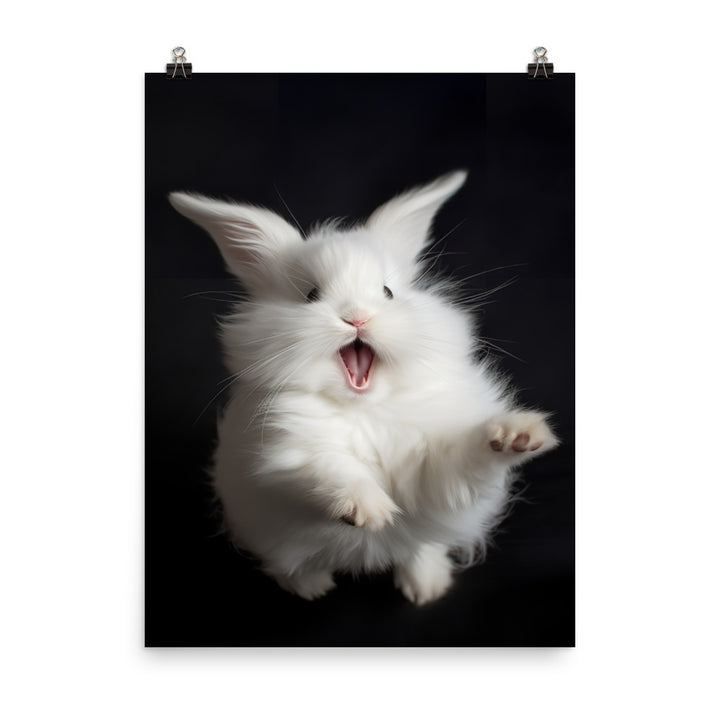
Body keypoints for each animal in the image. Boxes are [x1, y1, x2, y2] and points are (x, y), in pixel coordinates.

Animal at [168, 170, 558, 605]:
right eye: (311, 295)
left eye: (387, 292)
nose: (357, 318)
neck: (363, 407)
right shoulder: (283, 453)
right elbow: (327, 468)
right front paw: (369, 510)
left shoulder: (438, 472)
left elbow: (466, 458)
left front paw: (516, 435)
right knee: (286, 561)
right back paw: (312, 587)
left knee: (420, 547)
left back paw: (426, 586)